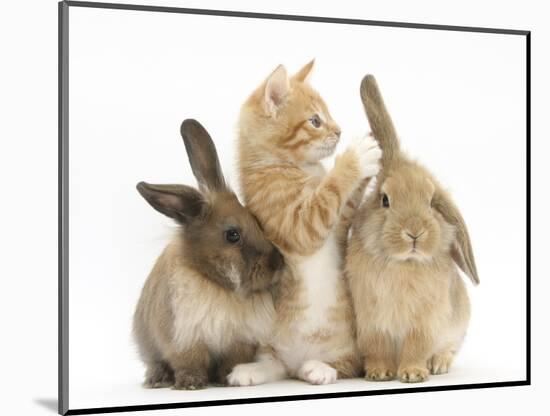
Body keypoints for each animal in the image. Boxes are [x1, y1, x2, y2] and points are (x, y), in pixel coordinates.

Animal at [134, 118, 284, 390]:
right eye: (232, 235)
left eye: (256, 221)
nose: (278, 263)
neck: (217, 285)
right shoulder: (183, 339)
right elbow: (188, 362)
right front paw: (190, 384)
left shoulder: (238, 342)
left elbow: (231, 360)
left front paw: (225, 379)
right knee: (155, 363)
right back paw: (157, 380)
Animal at [226, 60, 382, 386]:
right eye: (315, 121)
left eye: (328, 115)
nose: (339, 131)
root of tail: (297, 361)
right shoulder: (298, 223)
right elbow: (329, 192)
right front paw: (356, 157)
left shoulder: (340, 223)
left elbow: (346, 200)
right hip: (269, 341)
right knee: (278, 365)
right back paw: (254, 370)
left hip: (346, 343)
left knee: (344, 364)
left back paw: (317, 367)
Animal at [348, 75, 480, 384]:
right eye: (385, 199)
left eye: (431, 201)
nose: (415, 232)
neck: (402, 264)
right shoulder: (371, 321)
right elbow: (377, 347)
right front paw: (379, 373)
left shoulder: (424, 322)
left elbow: (417, 347)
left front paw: (412, 374)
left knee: (447, 350)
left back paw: (438, 365)